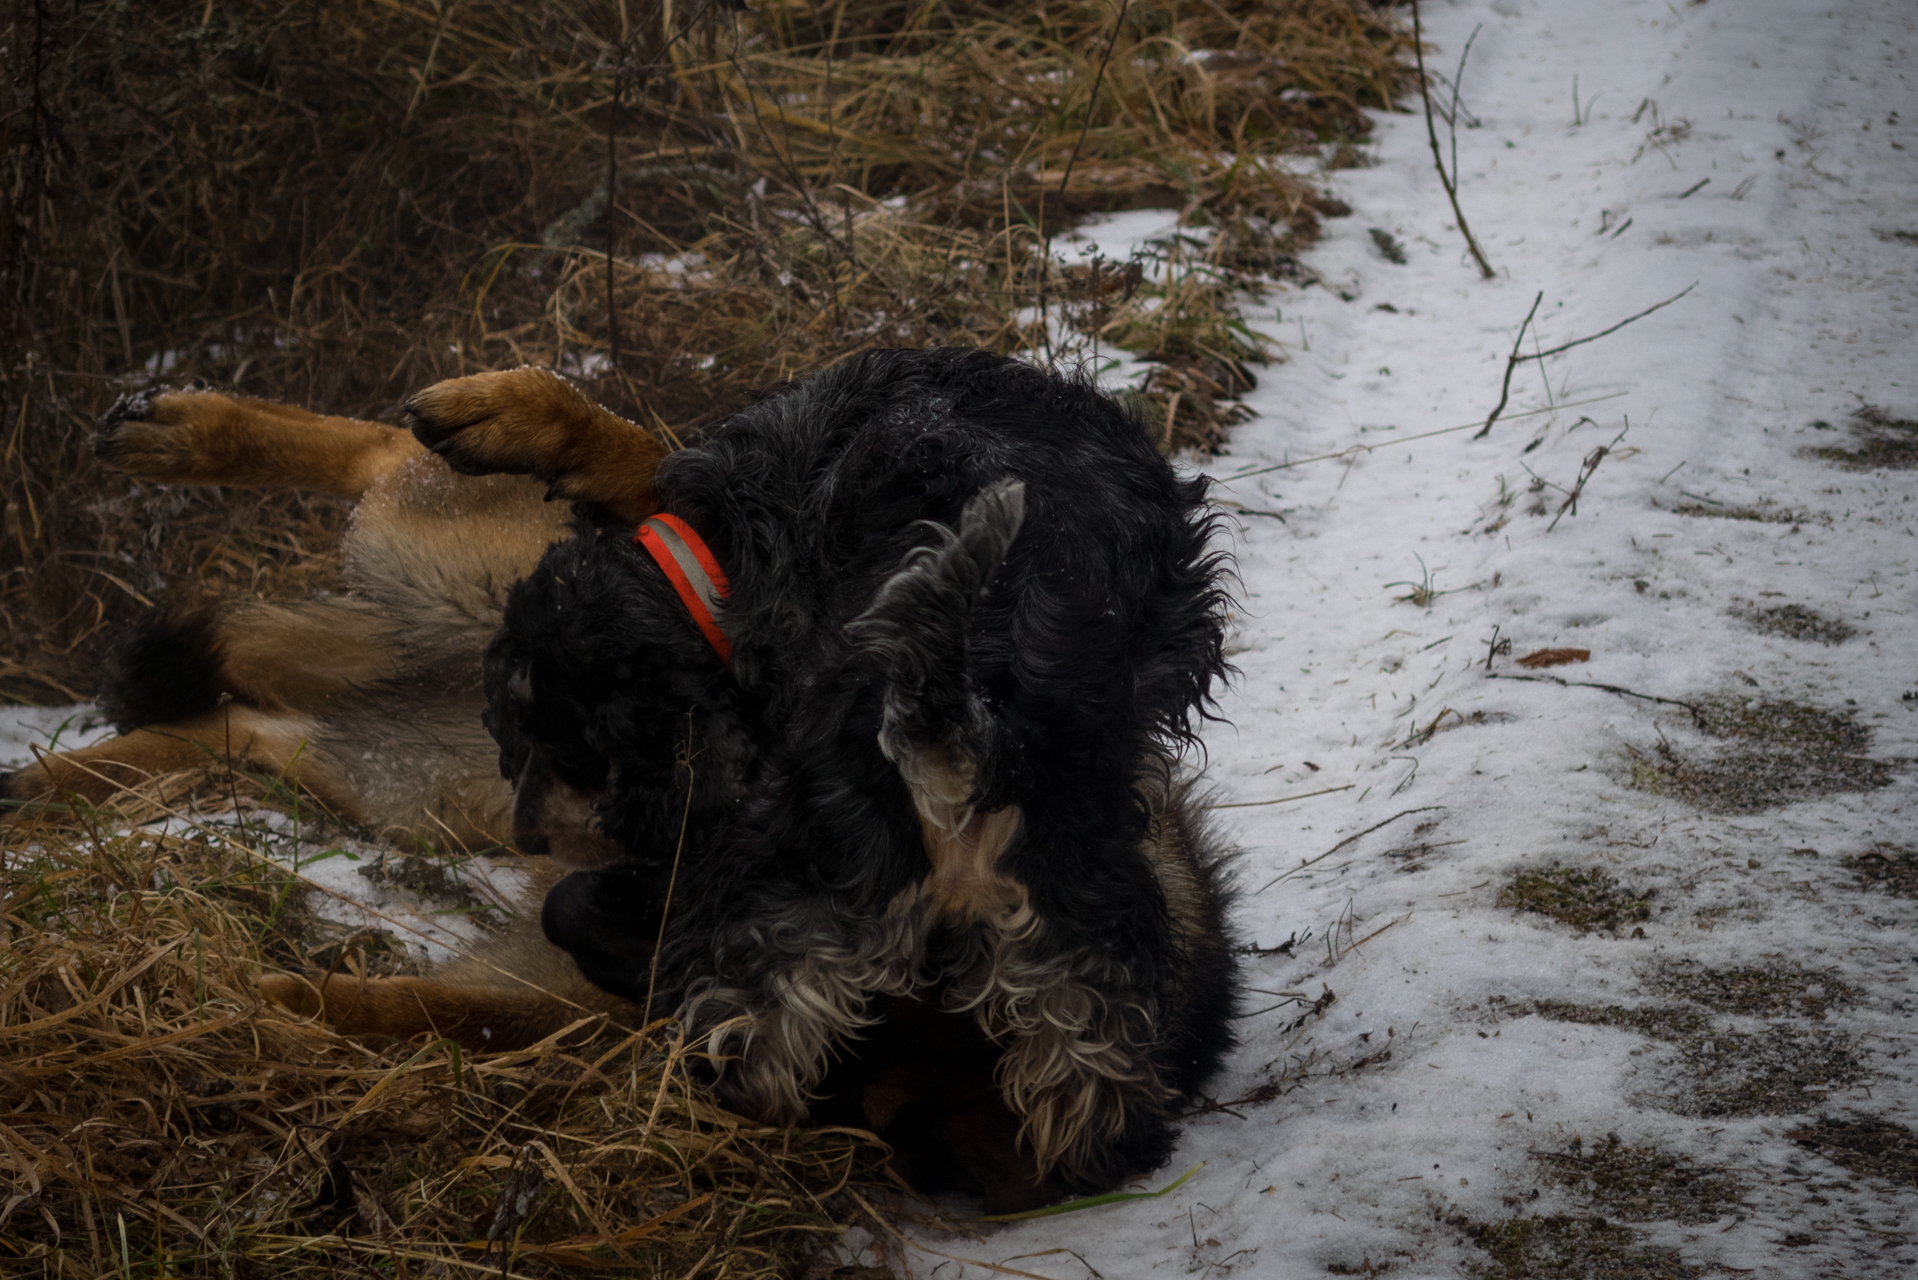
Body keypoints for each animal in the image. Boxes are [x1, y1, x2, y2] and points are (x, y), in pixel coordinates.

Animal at [471, 347, 1235, 1212]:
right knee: (1093, 1038)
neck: (715, 557)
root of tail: (954, 725)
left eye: (553, 744)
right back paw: (1103, 1153)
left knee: (756, 1024)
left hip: (807, 871)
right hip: (1072, 879)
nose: (527, 834)